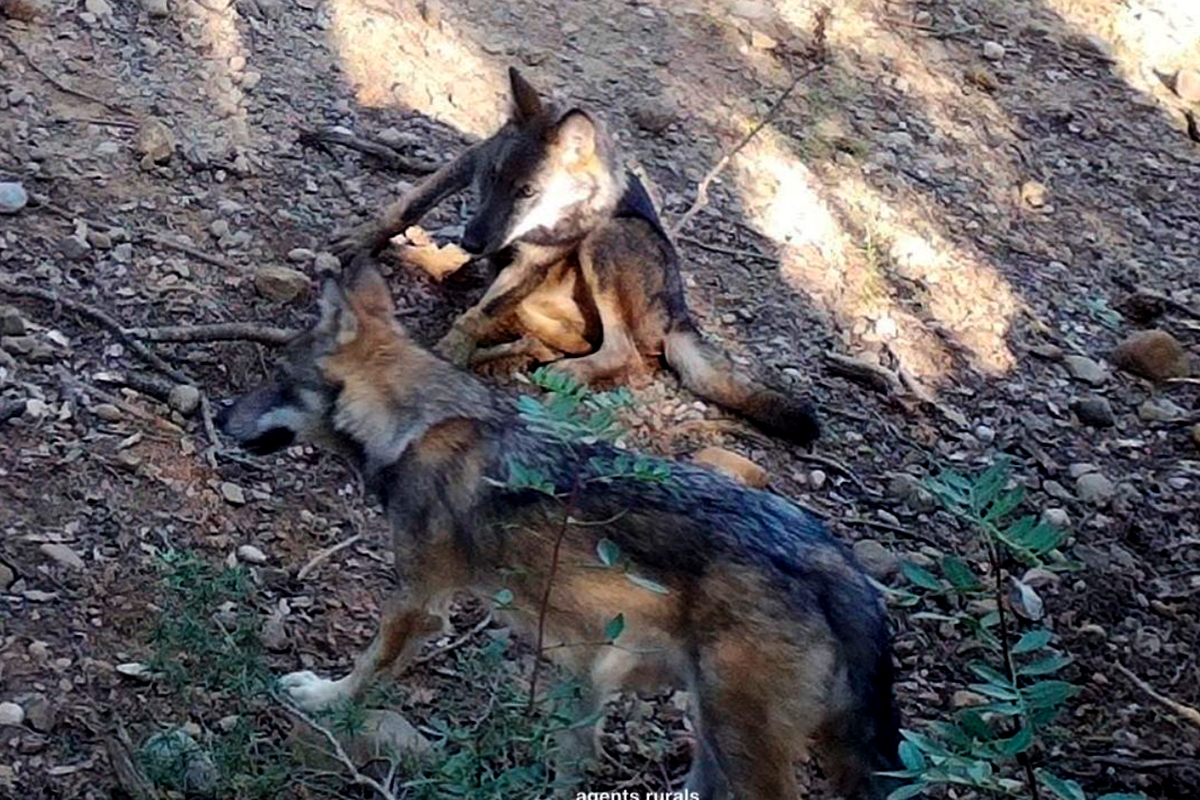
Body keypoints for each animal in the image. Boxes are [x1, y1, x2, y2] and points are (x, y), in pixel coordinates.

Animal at [217, 262, 903, 799]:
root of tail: (837, 562)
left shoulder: (418, 601)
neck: (414, 426)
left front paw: (324, 698)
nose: (221, 417)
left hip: (738, 744)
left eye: (278, 379)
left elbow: (367, 668)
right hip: (704, 733)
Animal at [328, 68, 820, 444]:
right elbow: (409, 203)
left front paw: (451, 352)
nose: (472, 241)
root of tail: (679, 315)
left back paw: (559, 370)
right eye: (492, 179)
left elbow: (476, 315)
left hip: (607, 239)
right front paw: (360, 241)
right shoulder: (470, 161)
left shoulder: (535, 261)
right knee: (560, 337)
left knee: (626, 355)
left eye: (527, 191)